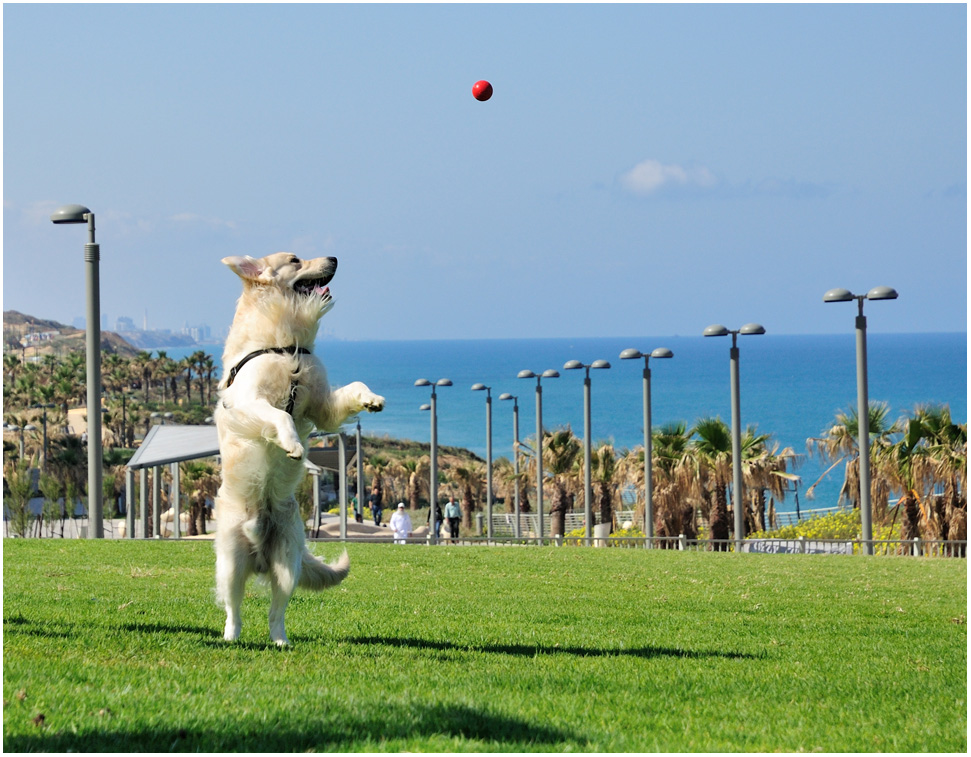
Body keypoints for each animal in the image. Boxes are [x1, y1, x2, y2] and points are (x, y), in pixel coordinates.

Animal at [213, 252, 384, 644]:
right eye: (295, 260)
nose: (334, 257)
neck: (287, 345)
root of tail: (259, 553)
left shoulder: (321, 405)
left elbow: (353, 386)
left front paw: (371, 398)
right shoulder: (248, 400)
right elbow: (279, 415)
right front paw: (291, 443)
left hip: (287, 561)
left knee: (276, 612)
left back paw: (281, 641)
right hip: (230, 562)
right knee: (234, 609)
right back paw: (231, 637)